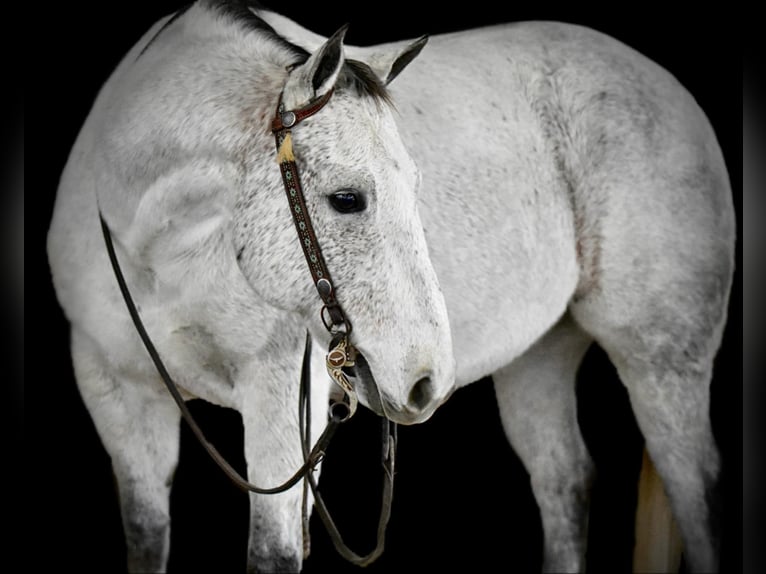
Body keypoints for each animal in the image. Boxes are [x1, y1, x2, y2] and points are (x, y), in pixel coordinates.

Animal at [46, 2, 736, 572]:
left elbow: (273, 553)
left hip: (662, 362)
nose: (429, 379)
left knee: (696, 491)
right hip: (538, 356)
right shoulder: (115, 393)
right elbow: (146, 537)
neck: (161, 249)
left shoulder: (278, 397)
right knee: (564, 482)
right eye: (347, 199)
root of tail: (665, 84)